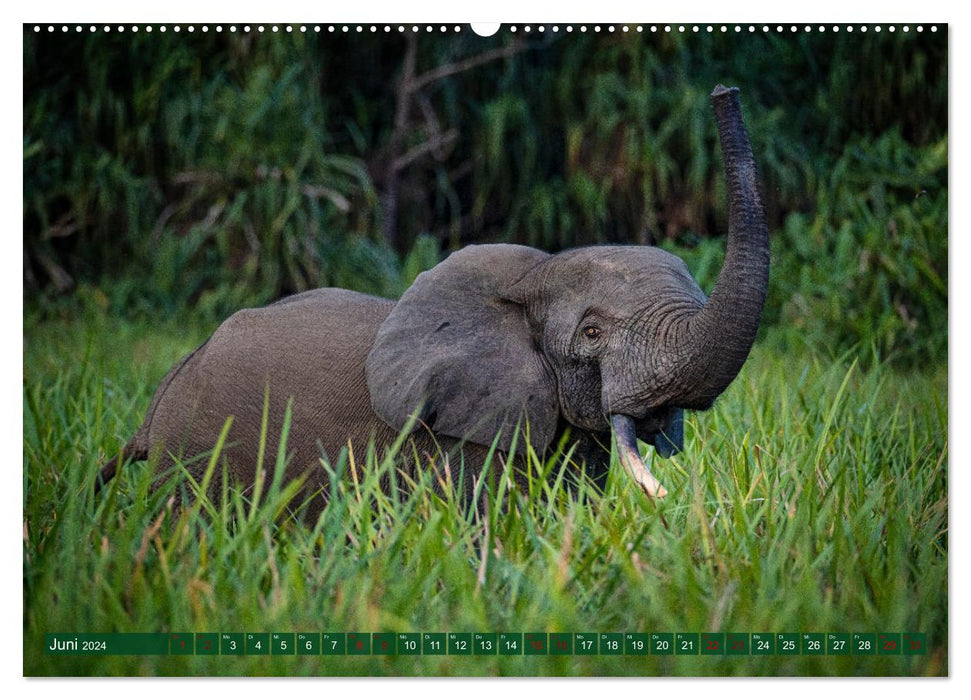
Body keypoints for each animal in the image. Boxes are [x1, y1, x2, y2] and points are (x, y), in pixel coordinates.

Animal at [97, 85, 768, 516]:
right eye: (593, 333)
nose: (723, 90)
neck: (532, 277)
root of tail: (157, 403)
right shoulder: (453, 437)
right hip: (194, 460)